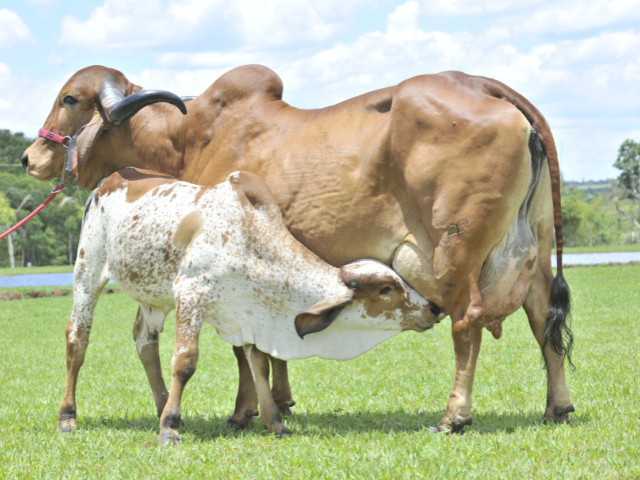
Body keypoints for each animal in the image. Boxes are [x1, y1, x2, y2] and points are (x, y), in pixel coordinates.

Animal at [22, 62, 572, 432]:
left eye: (70, 98)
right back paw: (558, 407)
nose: (29, 157)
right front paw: (279, 403)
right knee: (542, 316)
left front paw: (244, 412)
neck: (189, 137)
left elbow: (245, 350)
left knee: (467, 321)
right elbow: (270, 346)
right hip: (536, 247)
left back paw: (454, 415)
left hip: (453, 253)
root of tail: (482, 85)